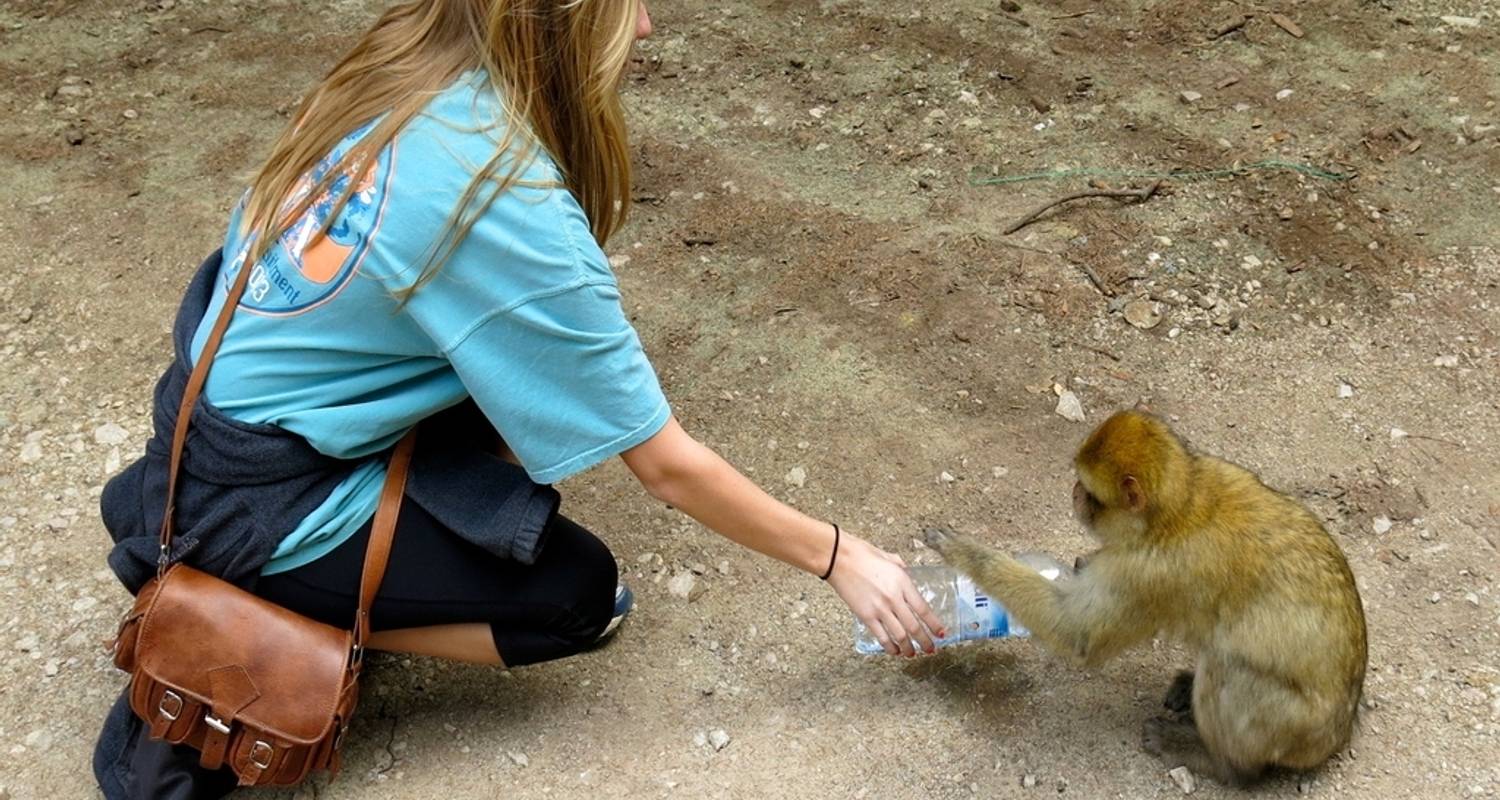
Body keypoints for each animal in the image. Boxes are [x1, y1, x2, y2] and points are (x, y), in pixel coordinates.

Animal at [918, 408, 1368, 780]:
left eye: (1089, 492)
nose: (1073, 492)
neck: (1177, 508)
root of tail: (1338, 735)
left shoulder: (1147, 574)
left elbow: (1077, 635)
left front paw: (963, 553)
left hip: (1290, 728)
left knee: (1229, 669)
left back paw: (1220, 762)